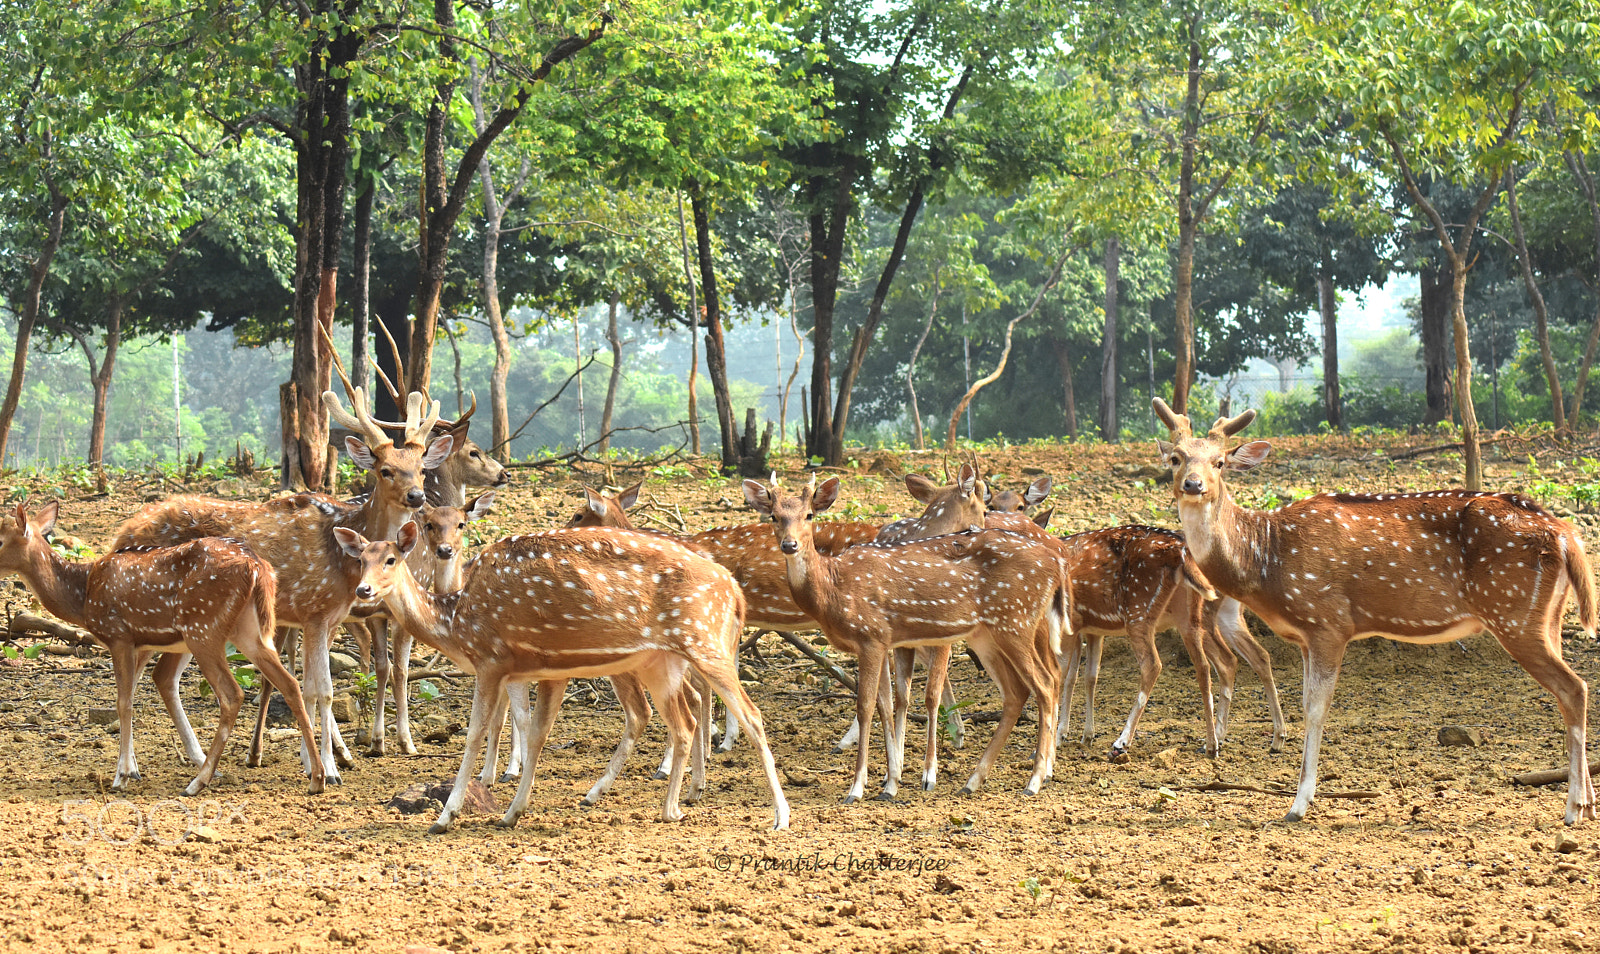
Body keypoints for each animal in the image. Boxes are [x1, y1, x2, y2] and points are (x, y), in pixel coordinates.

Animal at [0, 502, 324, 795]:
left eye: (0, 538)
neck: (82, 596)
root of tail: (259, 568)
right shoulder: (140, 642)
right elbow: (131, 695)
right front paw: (132, 769)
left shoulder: (118, 635)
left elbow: (124, 702)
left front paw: (122, 776)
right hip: (249, 630)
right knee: (289, 683)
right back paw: (317, 778)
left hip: (203, 628)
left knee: (233, 694)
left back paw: (198, 782)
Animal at [111, 387, 452, 784]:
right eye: (385, 470)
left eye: (421, 469)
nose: (416, 496)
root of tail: (122, 533)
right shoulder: (315, 611)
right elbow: (322, 690)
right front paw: (329, 769)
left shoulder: (323, 618)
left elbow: (310, 687)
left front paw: (320, 761)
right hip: (153, 611)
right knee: (133, 678)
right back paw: (130, 769)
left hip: (188, 624)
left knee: (162, 677)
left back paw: (196, 761)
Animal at [332, 521, 791, 832]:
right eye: (360, 559)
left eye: (391, 559)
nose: (363, 591)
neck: (458, 625)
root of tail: (735, 592)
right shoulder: (538, 667)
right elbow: (533, 731)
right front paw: (512, 812)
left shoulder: (492, 660)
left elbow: (476, 732)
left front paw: (447, 816)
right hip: (659, 661)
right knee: (684, 720)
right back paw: (671, 807)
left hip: (703, 639)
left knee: (751, 716)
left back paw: (780, 817)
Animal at [745, 474, 1068, 801]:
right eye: (774, 516)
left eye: (809, 515)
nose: (789, 544)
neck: (832, 589)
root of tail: (1057, 561)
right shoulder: (887, 641)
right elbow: (888, 705)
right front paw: (890, 783)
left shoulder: (871, 636)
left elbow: (865, 707)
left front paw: (858, 788)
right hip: (987, 634)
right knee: (1018, 691)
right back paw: (974, 780)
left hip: (1015, 620)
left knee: (1044, 683)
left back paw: (1035, 780)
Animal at [1152, 397, 1598, 824]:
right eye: (1175, 457)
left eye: (1220, 461)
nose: (1193, 484)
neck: (1265, 561)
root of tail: (1566, 535)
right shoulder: (1304, 636)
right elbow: (1306, 702)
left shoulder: (1329, 621)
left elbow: (1316, 709)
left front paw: (1298, 804)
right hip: (1547, 617)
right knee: (1571, 690)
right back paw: (1588, 804)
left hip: (1512, 611)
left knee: (1574, 687)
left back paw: (1573, 807)